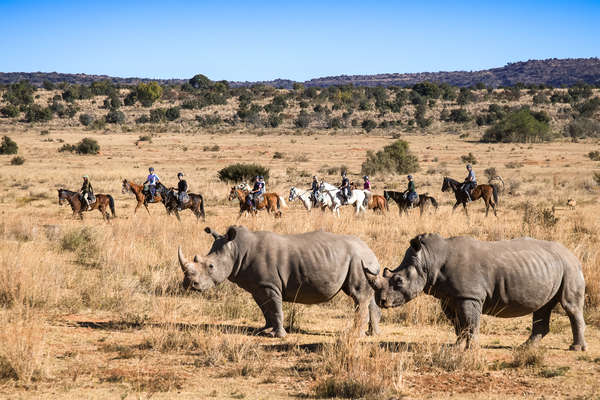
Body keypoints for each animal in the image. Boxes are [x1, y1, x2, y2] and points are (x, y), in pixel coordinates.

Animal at [178, 227, 380, 336]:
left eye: (211, 266)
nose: (189, 284)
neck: (236, 250)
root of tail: (370, 250)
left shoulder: (270, 285)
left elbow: (275, 308)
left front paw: (278, 336)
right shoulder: (258, 287)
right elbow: (265, 309)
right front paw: (265, 330)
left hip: (358, 259)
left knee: (358, 296)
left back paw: (355, 335)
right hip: (362, 261)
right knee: (367, 296)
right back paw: (373, 333)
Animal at [364, 234, 588, 350]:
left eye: (398, 281)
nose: (381, 301)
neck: (429, 259)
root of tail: (573, 254)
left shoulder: (469, 295)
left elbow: (470, 322)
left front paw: (470, 349)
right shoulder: (450, 297)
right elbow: (458, 324)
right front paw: (456, 347)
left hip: (569, 267)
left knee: (570, 306)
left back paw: (576, 349)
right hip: (551, 266)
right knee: (543, 307)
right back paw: (525, 347)